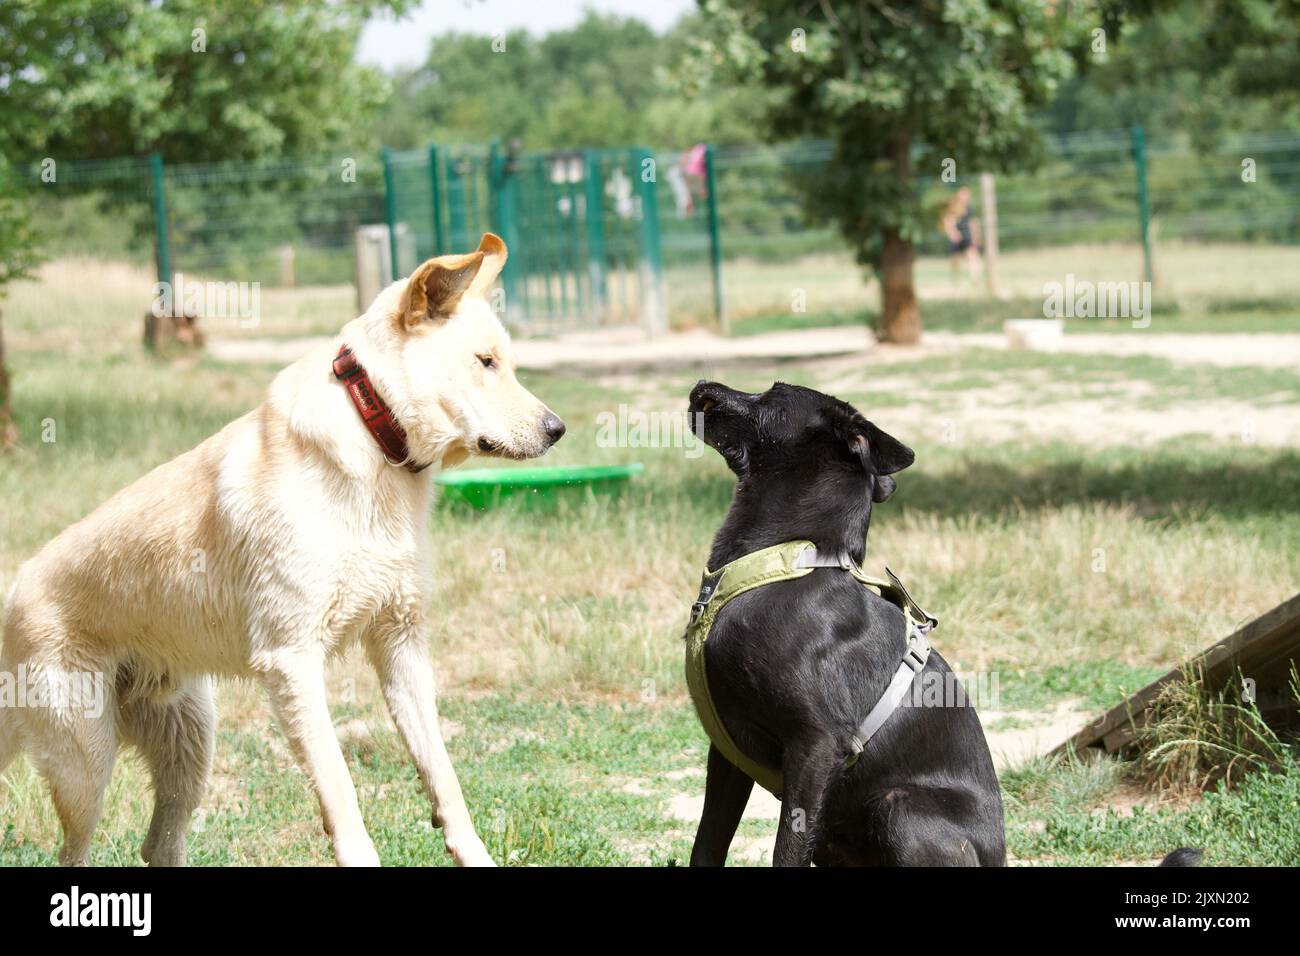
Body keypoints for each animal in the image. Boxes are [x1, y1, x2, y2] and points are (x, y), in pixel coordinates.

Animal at [0, 231, 564, 868]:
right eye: (485, 362)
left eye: (505, 362)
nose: (558, 429)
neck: (374, 441)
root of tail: (14, 592)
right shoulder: (293, 661)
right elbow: (340, 789)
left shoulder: (401, 647)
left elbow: (444, 777)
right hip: (86, 765)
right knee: (74, 852)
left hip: (190, 746)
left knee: (157, 844)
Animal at [691, 382, 1003, 868]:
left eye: (774, 393)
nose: (703, 386)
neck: (784, 563)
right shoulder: (727, 749)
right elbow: (707, 843)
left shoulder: (817, 745)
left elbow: (787, 851)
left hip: (901, 810)